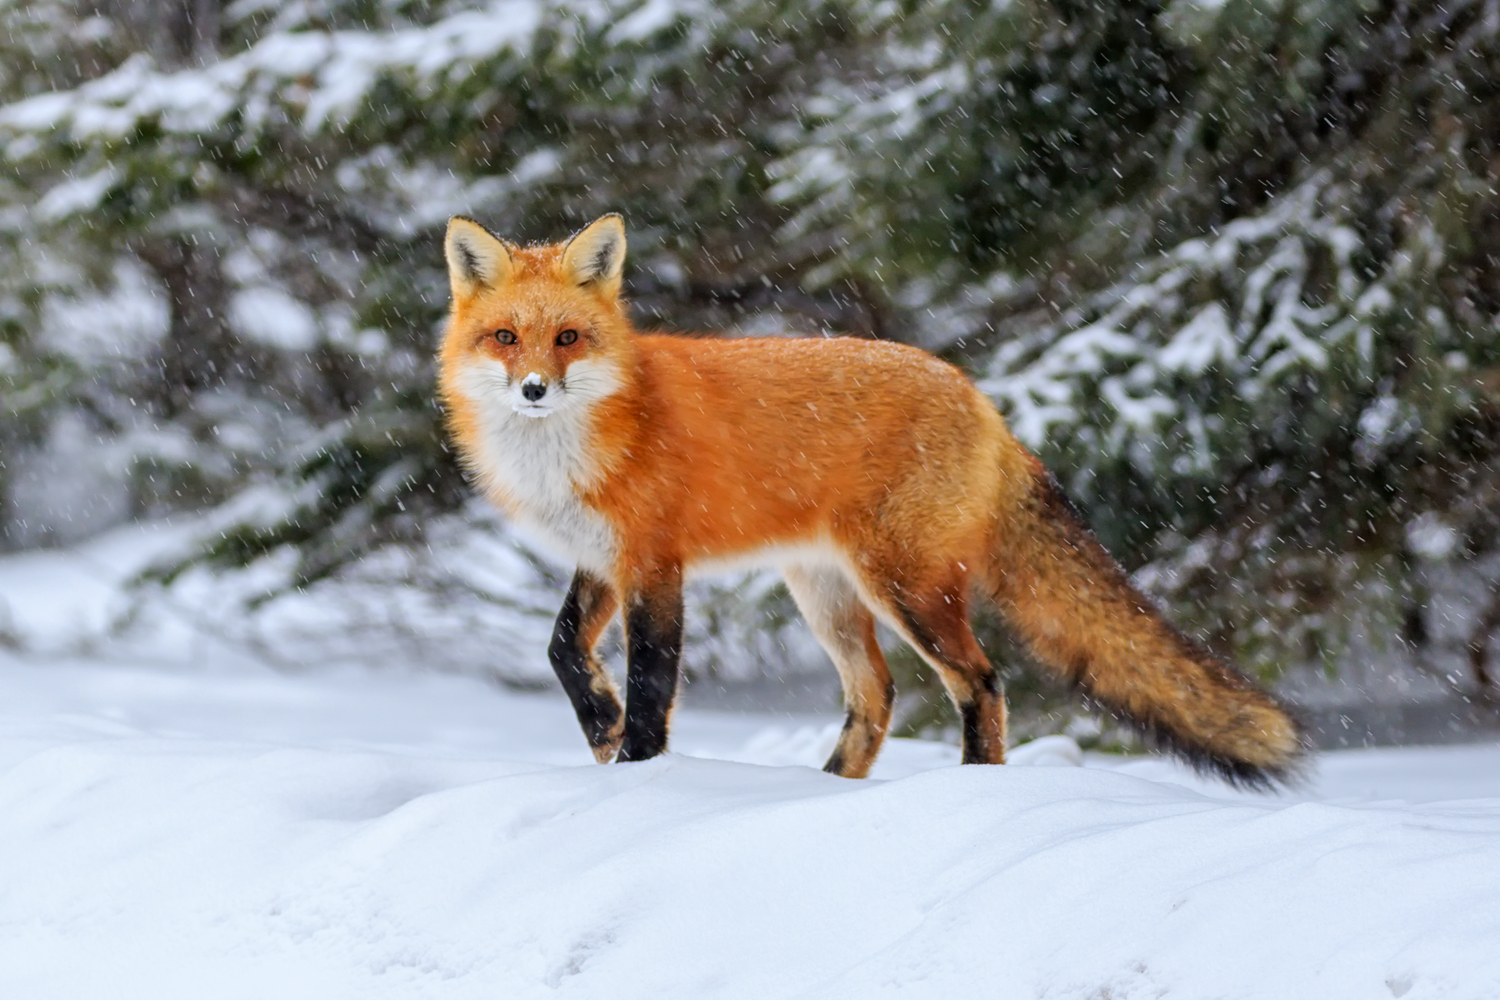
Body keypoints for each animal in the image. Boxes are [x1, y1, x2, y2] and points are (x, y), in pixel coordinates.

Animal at [435, 215, 1302, 785]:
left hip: (905, 586)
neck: (576, 445)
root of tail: (982, 399)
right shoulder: (600, 556)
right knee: (877, 694)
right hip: (826, 591)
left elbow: (652, 683)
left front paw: (636, 768)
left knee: (979, 681)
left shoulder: (654, 562)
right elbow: (562, 651)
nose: (535, 389)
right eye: (506, 338)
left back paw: (973, 786)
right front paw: (601, 727)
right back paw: (831, 786)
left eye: (568, 338)